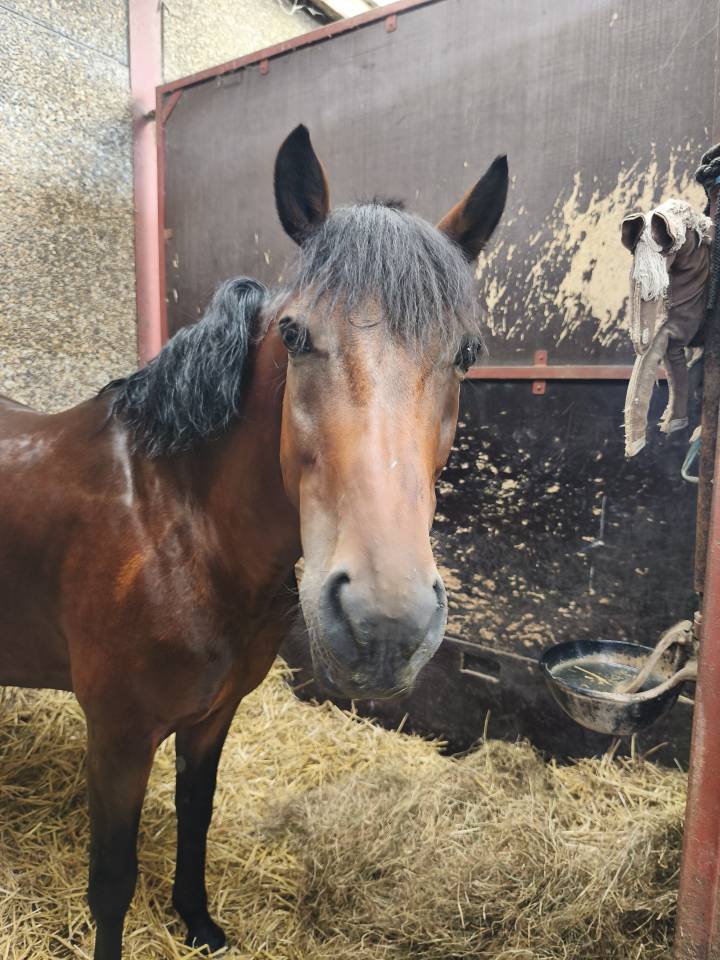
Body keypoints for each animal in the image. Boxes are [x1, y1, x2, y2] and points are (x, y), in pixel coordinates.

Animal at [0, 124, 507, 959]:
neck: (177, 527)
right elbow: (111, 883)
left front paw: (199, 921)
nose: (384, 625)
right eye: (296, 334)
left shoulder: (212, 718)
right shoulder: (117, 734)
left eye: (465, 353)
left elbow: (196, 817)